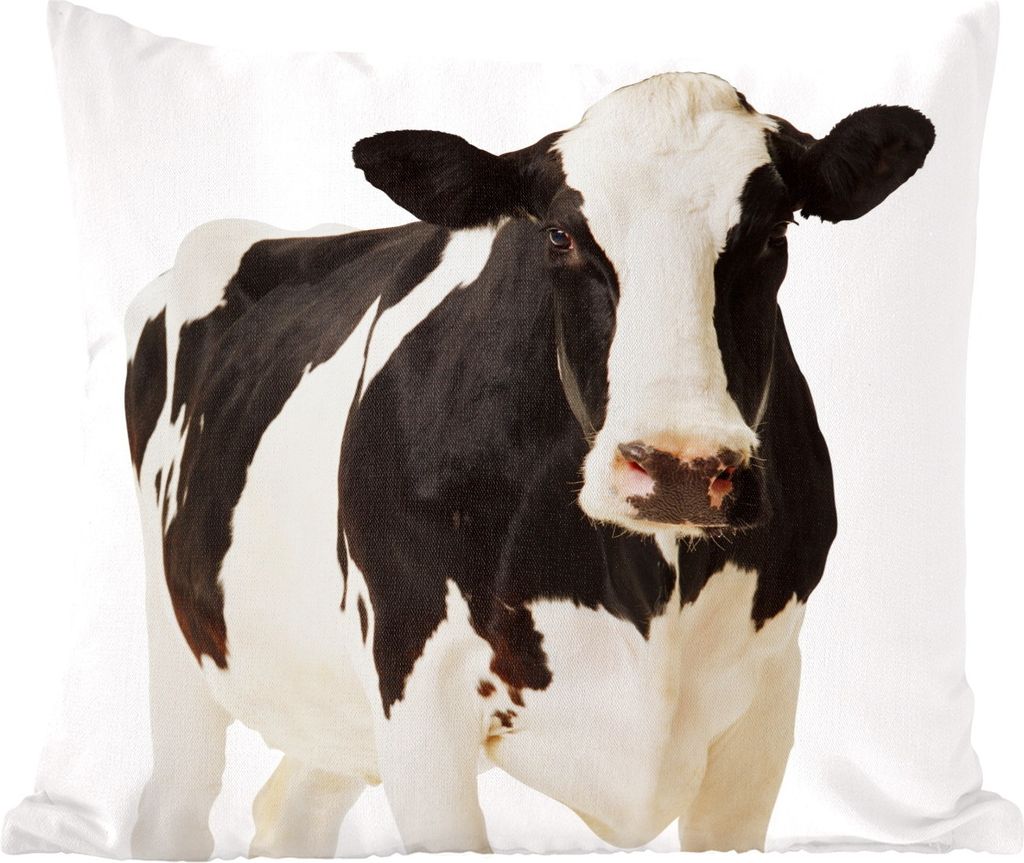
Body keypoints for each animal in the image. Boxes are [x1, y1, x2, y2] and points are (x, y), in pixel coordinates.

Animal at [124, 72, 934, 857]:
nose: (678, 467)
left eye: (773, 232)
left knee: (293, 810)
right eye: (561, 235)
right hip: (177, 641)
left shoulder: (765, 705)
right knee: (175, 807)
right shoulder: (417, 696)